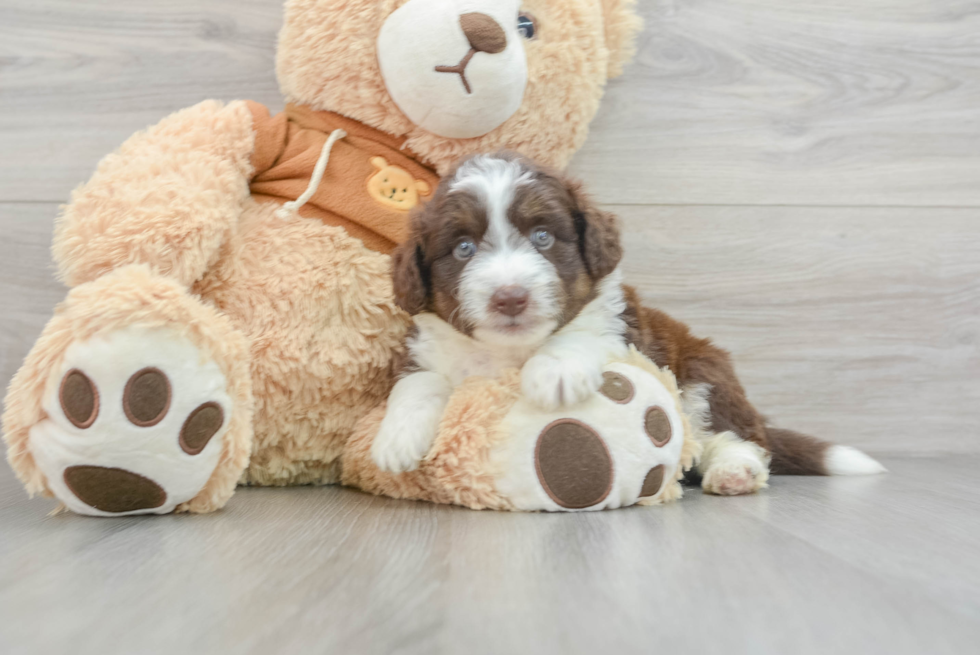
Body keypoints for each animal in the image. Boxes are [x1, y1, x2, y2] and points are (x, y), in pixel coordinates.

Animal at [370, 155, 888, 492]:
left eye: (543, 237)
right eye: (463, 248)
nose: (510, 297)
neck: (510, 353)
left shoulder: (623, 329)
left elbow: (581, 332)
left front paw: (554, 372)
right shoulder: (428, 347)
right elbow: (418, 383)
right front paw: (396, 439)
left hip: (704, 375)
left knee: (736, 437)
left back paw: (733, 471)